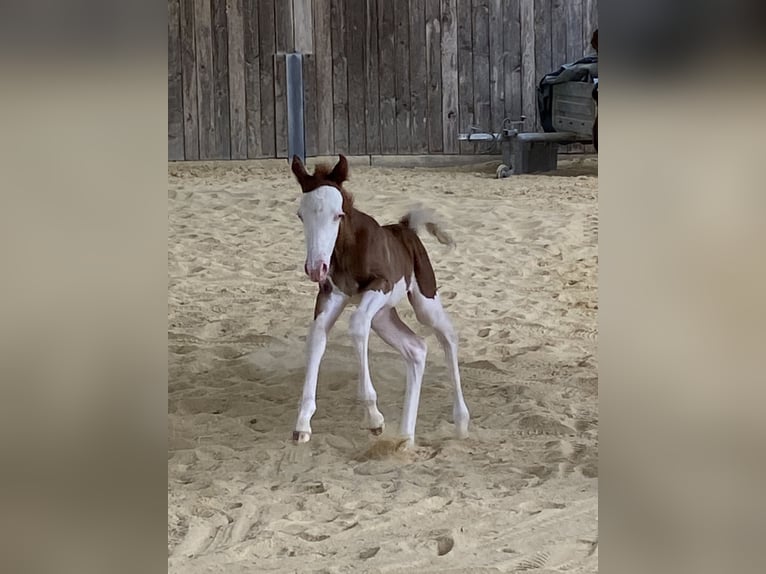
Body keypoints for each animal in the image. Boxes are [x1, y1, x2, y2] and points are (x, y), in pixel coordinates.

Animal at [289, 154, 470, 447]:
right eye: (301, 215)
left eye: (338, 215)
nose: (316, 268)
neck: (348, 251)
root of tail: (406, 229)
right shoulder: (330, 295)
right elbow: (317, 336)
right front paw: (303, 425)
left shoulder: (380, 286)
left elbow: (356, 326)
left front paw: (374, 419)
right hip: (384, 317)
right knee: (417, 348)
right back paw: (405, 438)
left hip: (424, 302)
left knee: (448, 337)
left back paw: (461, 422)